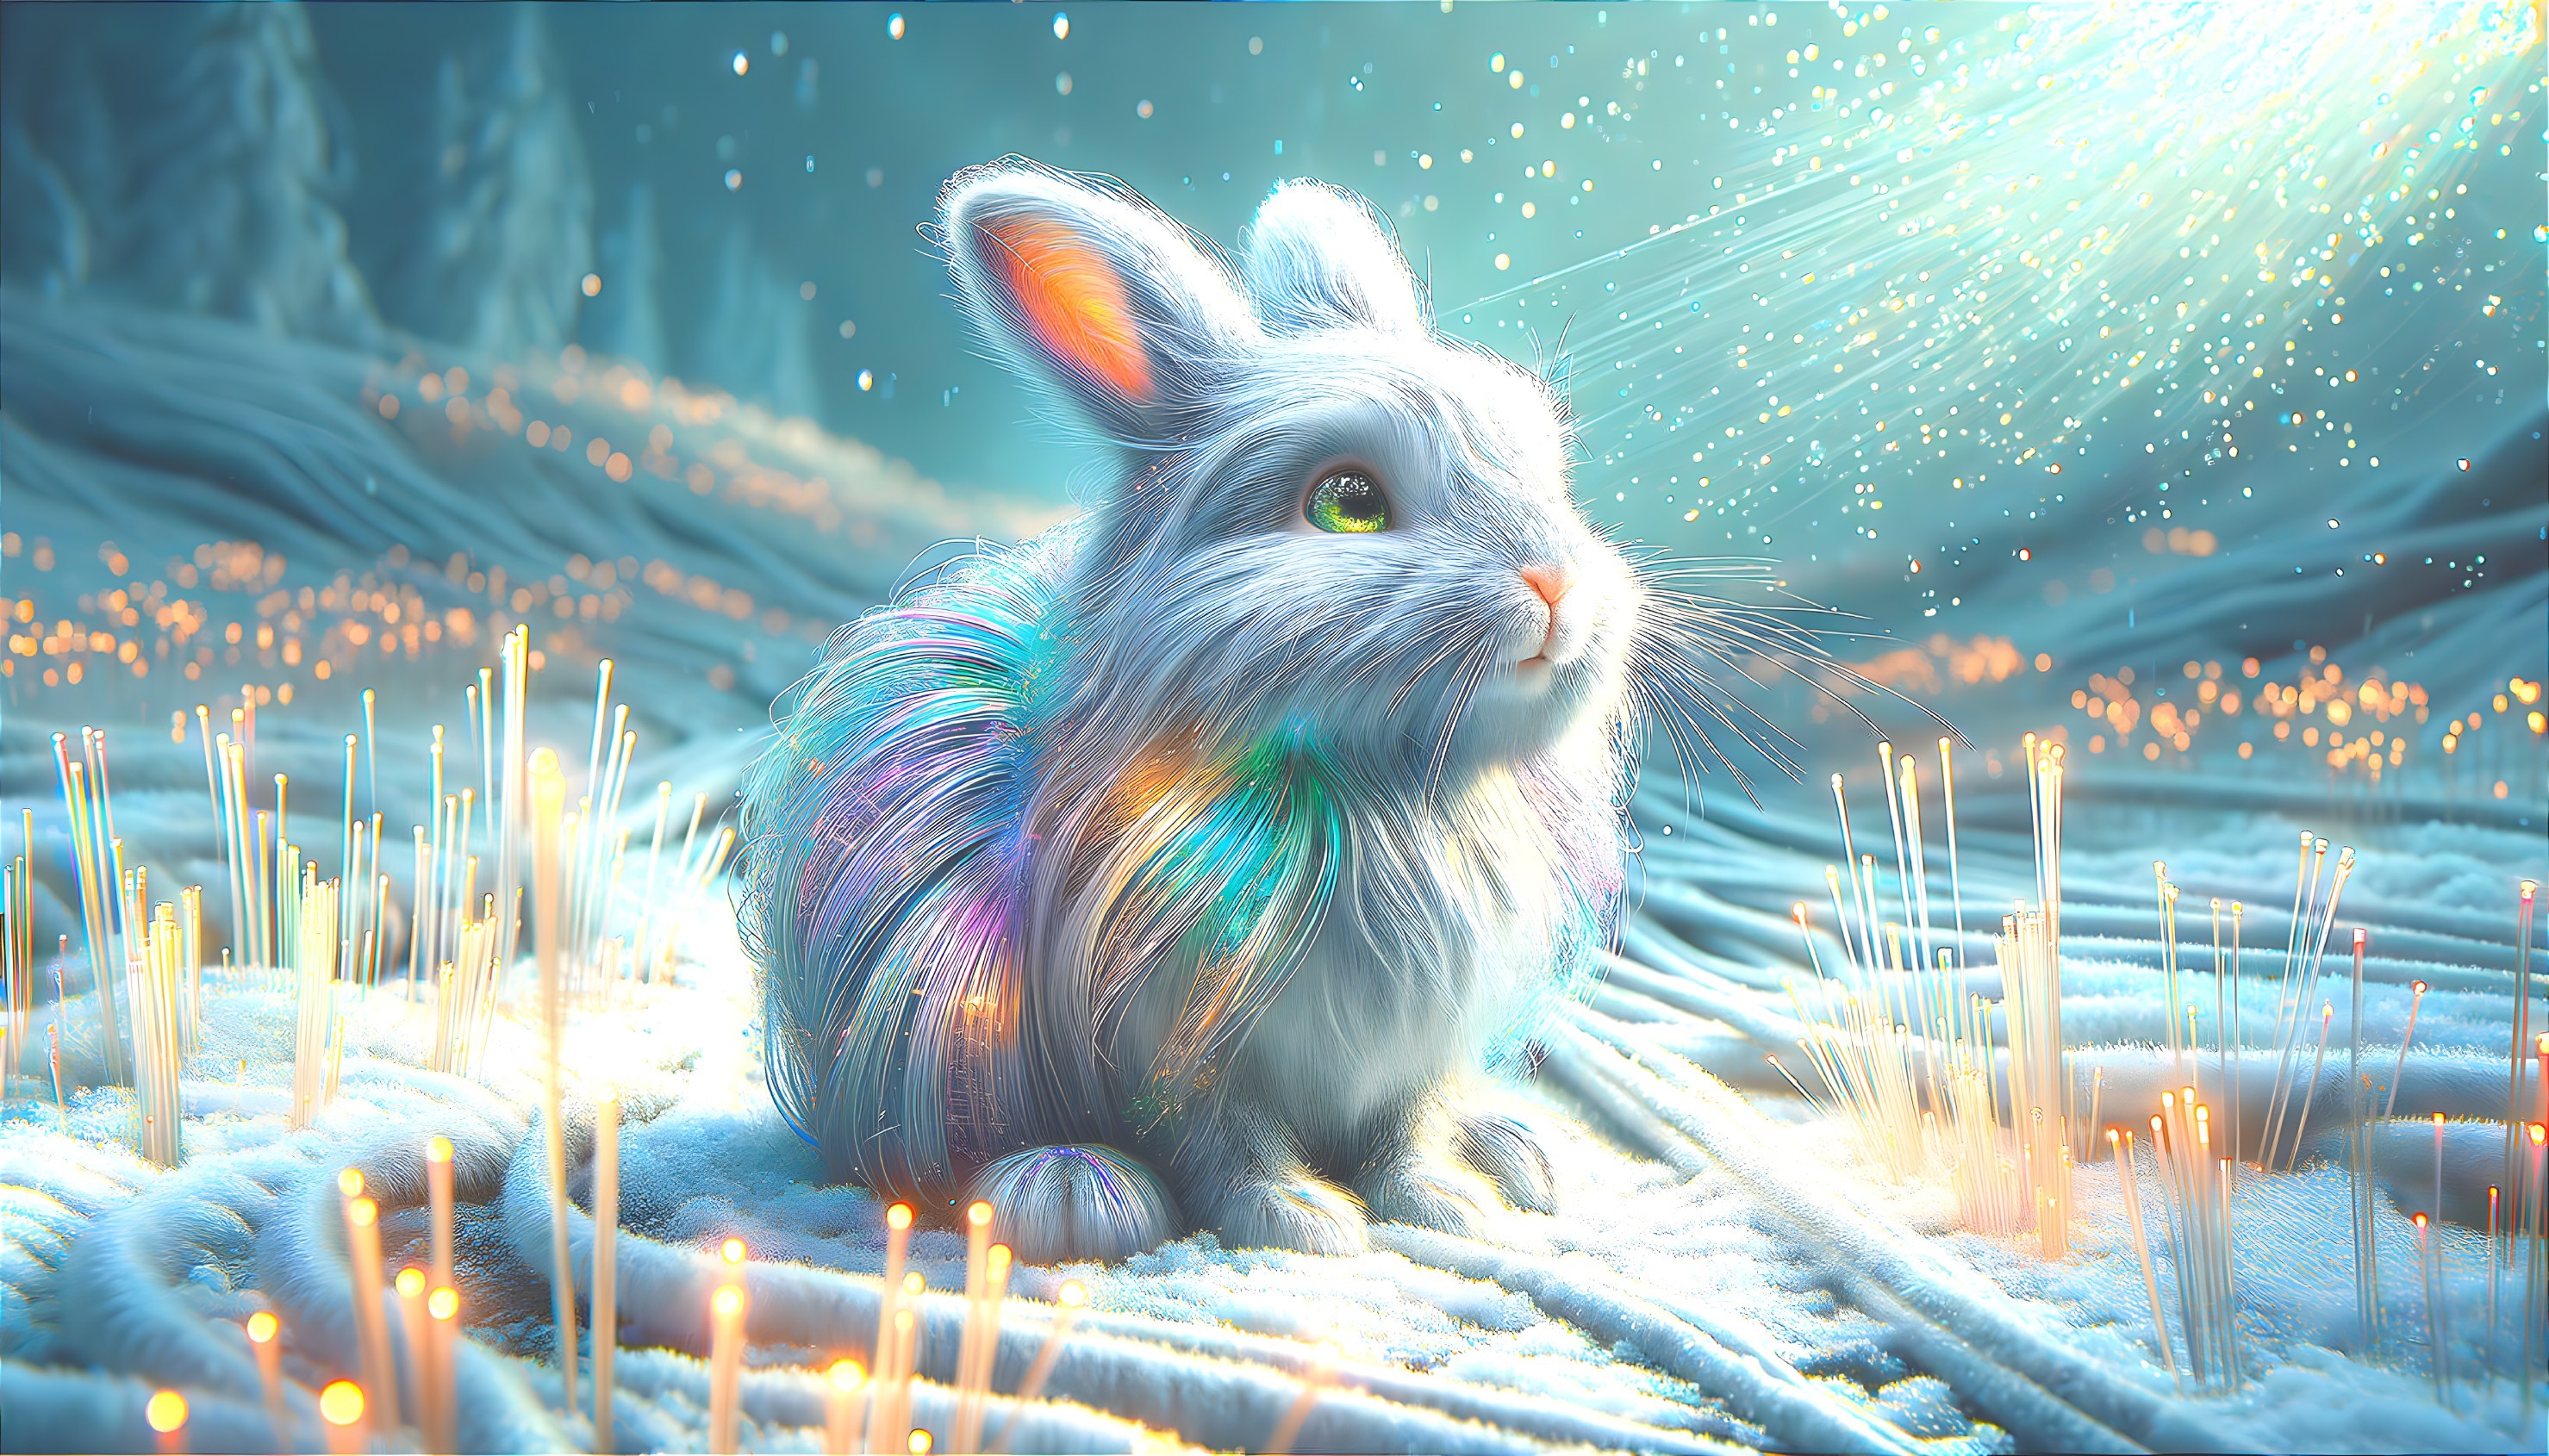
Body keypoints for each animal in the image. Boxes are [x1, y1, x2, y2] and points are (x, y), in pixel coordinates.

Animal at [742, 157, 1670, 1263]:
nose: (1562, 585)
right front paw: (1304, 1220)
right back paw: (1070, 1186)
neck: (1380, 787)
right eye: (1350, 502)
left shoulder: (1424, 1040)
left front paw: (1447, 1200)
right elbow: (1229, 1140)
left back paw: (1510, 1149)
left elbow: (1409, 1126)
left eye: (1543, 464)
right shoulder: (1175, 1042)